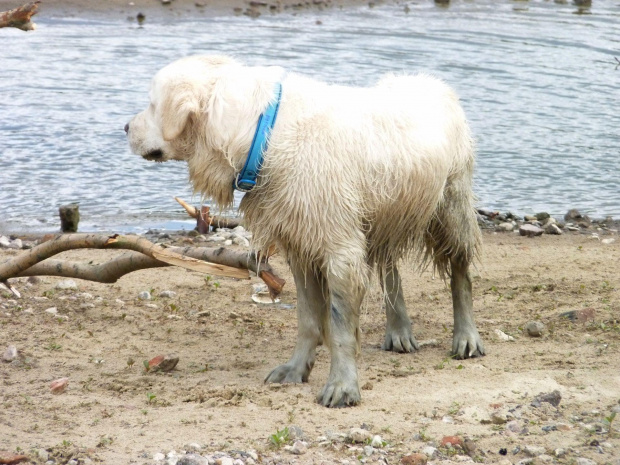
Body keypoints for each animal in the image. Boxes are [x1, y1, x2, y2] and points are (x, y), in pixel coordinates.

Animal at [126, 55, 484, 406]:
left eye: (152, 104)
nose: (125, 127)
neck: (263, 132)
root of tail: (436, 84)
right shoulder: (302, 245)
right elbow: (308, 319)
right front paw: (296, 369)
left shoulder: (339, 251)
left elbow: (339, 327)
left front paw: (342, 386)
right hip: (383, 214)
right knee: (389, 264)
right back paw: (399, 331)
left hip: (451, 206)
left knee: (460, 272)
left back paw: (466, 338)